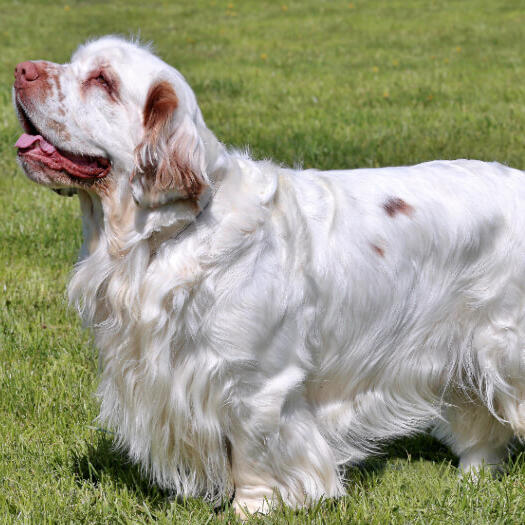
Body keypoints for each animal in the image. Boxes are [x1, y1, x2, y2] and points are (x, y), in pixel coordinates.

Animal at [13, 37, 525, 516]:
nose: (20, 70)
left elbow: (254, 453)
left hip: (506, 347)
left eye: (103, 80)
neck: (168, 236)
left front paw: (251, 509)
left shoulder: (258, 384)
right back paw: (473, 477)